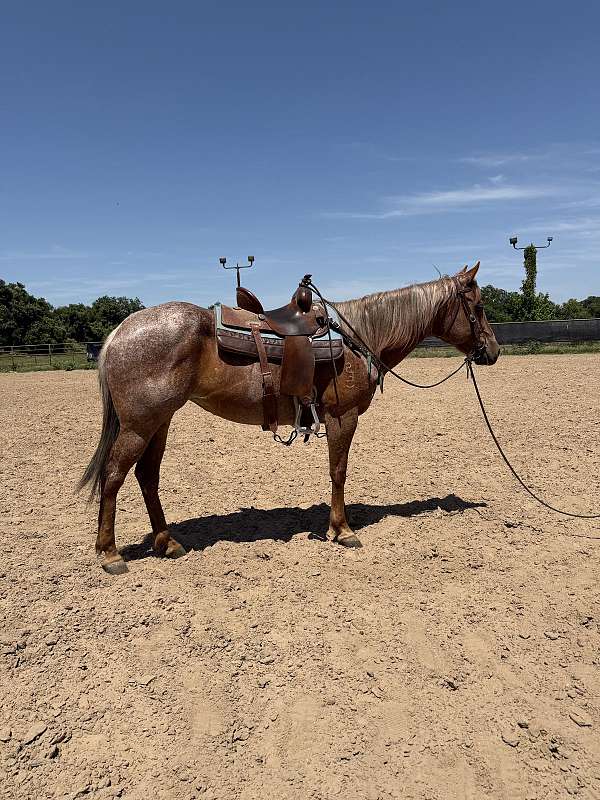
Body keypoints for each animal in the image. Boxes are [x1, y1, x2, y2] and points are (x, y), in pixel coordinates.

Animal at [78, 262, 500, 574]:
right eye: (478, 307)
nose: (492, 351)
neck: (359, 337)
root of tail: (119, 332)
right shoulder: (342, 417)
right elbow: (338, 471)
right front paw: (342, 530)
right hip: (139, 425)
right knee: (114, 476)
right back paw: (111, 554)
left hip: (160, 421)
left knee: (147, 476)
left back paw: (167, 543)